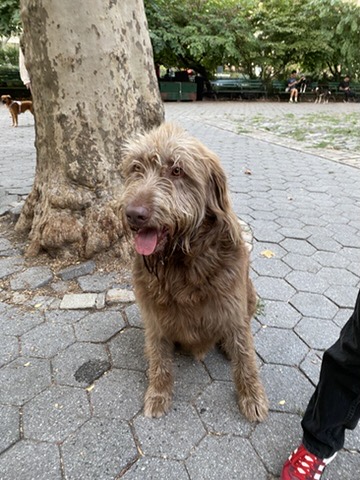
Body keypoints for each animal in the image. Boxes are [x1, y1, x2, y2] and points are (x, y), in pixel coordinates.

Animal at [121, 122, 268, 422]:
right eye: (136, 168)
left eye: (177, 170)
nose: (133, 214)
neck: (181, 261)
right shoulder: (152, 315)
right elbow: (159, 356)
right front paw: (158, 393)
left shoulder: (234, 308)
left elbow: (245, 355)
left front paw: (251, 397)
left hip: (251, 294)